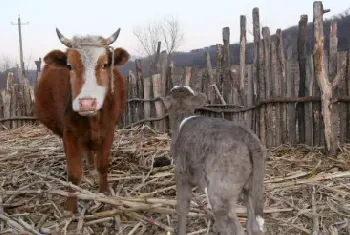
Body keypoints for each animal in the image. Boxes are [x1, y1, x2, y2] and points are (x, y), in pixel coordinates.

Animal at [34, 27, 130, 213]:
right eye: (70, 66)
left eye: (105, 64)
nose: (86, 103)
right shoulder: (69, 133)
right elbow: (74, 173)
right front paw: (70, 207)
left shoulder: (109, 130)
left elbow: (103, 165)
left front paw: (104, 193)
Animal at [163, 86, 266, 235]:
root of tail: (247, 136)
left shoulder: (181, 172)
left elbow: (182, 207)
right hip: (253, 186)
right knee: (253, 225)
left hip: (220, 191)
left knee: (234, 228)